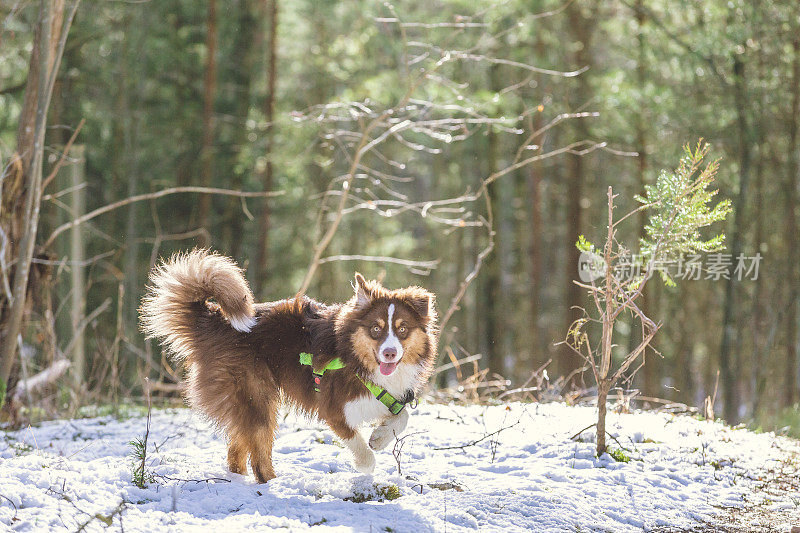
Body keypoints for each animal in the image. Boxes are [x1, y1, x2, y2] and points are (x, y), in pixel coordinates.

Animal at [138, 249, 438, 482]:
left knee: (236, 450)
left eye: (402, 329)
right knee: (257, 454)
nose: (389, 353)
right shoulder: (333, 408)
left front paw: (379, 437)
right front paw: (367, 460)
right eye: (376, 329)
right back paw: (272, 482)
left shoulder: (388, 398)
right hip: (258, 396)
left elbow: (402, 416)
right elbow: (359, 445)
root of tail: (217, 322)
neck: (354, 357)